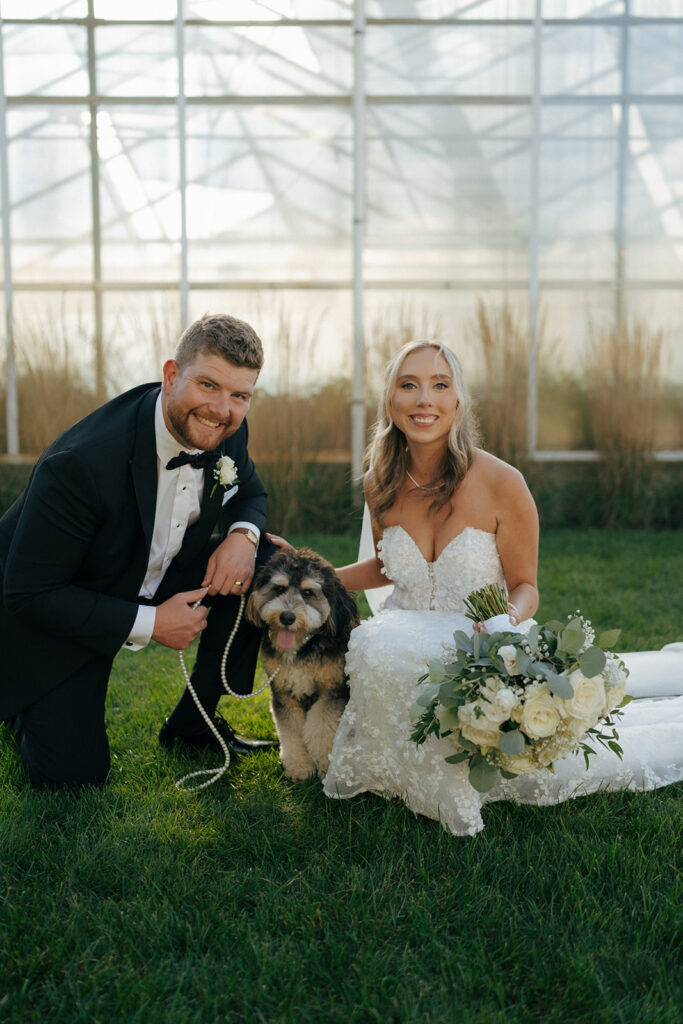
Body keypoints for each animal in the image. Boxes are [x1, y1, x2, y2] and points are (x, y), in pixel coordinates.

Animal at [246, 548, 362, 778]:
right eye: (279, 588)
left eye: (308, 593)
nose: (287, 617)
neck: (301, 649)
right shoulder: (282, 692)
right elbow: (291, 731)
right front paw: (299, 767)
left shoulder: (333, 691)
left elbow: (321, 729)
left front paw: (326, 767)